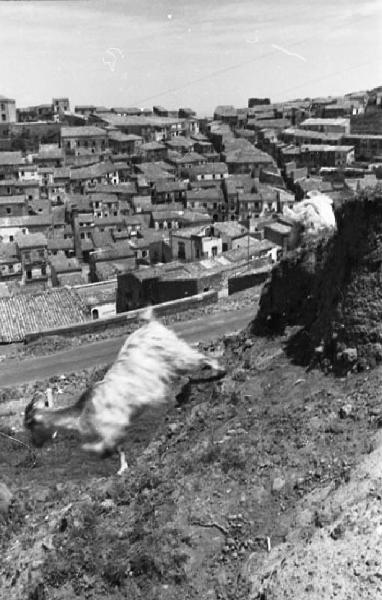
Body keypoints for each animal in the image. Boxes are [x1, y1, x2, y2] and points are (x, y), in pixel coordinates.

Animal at [23, 308, 225, 476]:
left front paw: (93, 451)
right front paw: (122, 468)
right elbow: (118, 447)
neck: (81, 413)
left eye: (30, 425)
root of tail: (151, 324)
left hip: (177, 354)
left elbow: (106, 446)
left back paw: (220, 369)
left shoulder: (114, 423)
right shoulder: (114, 428)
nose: (35, 444)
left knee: (201, 358)